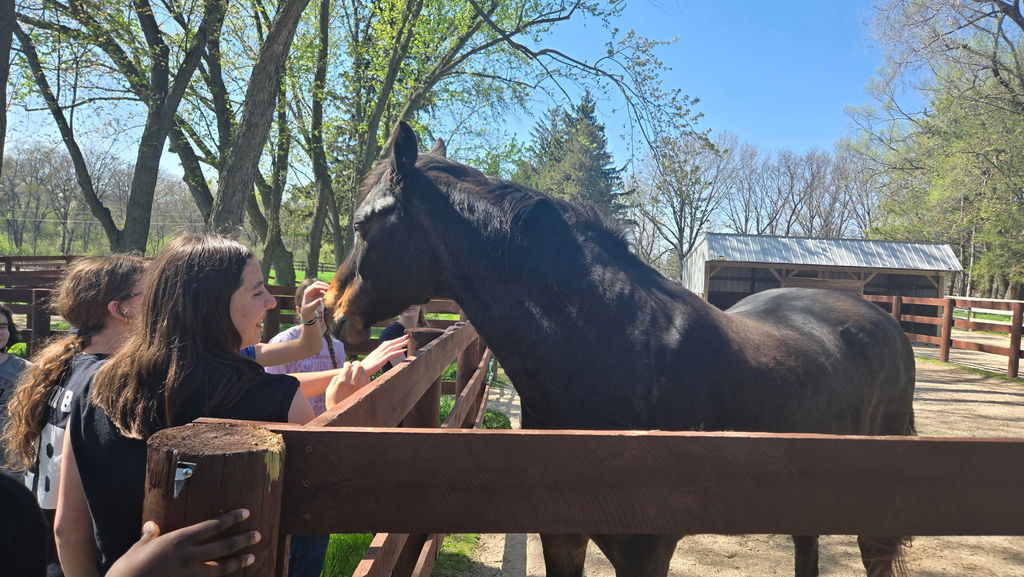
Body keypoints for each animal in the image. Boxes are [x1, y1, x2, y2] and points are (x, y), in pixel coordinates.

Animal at [324, 121, 916, 577]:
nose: (330, 313)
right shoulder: (561, 535)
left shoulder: (644, 550)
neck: (611, 350)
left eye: (362, 224)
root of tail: (880, 321)